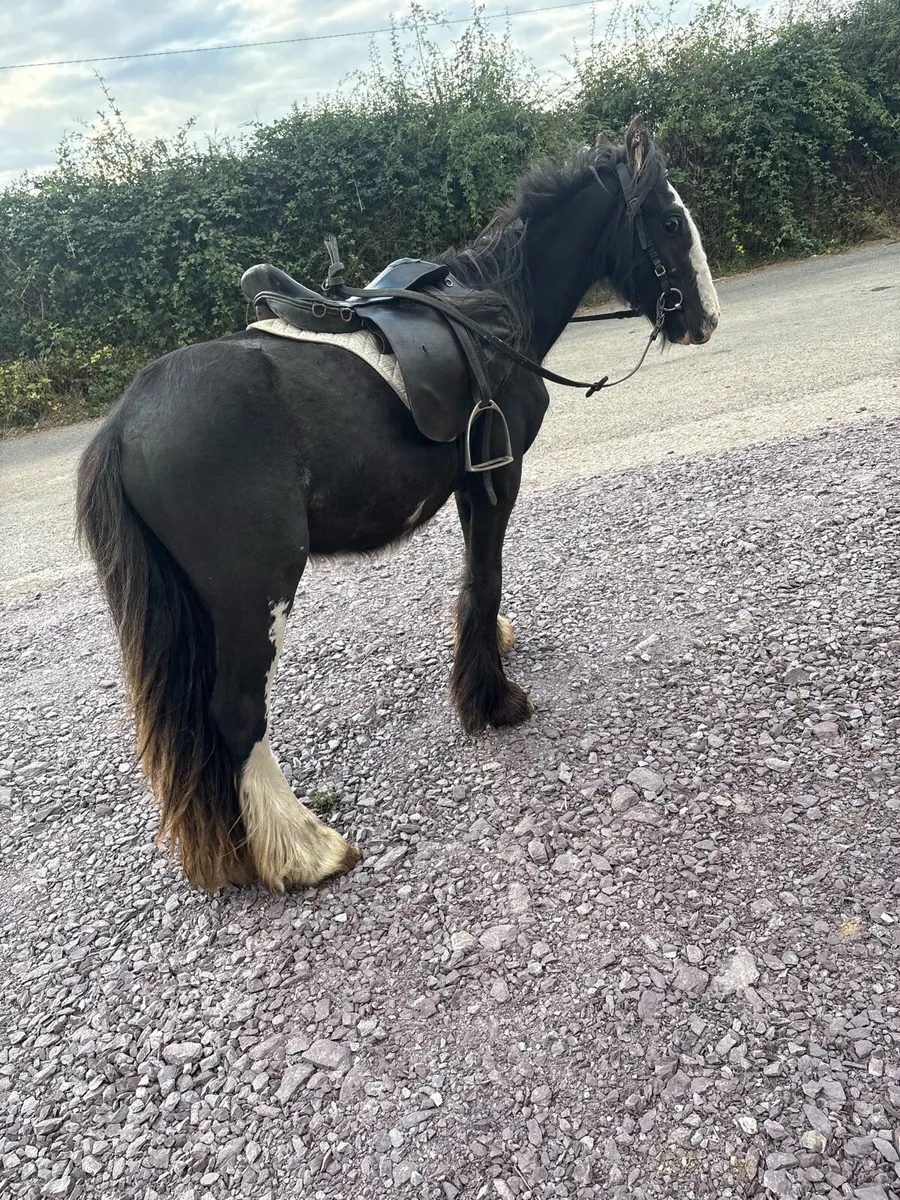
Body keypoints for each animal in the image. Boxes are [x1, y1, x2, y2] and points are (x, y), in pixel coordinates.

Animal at [76, 117, 720, 894]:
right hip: (256, 591)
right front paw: (493, 699)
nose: (706, 320)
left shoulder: (473, 486)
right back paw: (303, 849)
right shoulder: (496, 478)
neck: (493, 310)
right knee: (235, 712)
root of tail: (124, 423)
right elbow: (485, 580)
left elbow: (474, 583)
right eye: (668, 220)